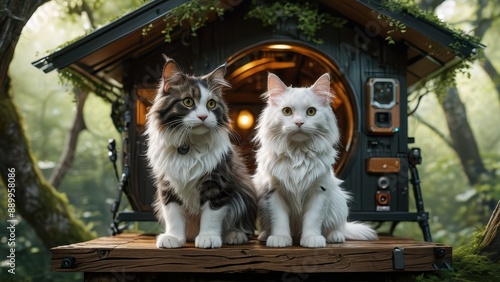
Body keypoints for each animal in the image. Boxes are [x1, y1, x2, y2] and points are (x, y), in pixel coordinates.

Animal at [143, 55, 256, 249]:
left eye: (211, 104)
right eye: (188, 101)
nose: (203, 116)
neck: (188, 146)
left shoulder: (218, 182)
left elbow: (212, 214)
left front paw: (208, 237)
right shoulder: (167, 185)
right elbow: (172, 214)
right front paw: (173, 237)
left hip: (244, 194)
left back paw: (234, 235)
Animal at [254, 73, 376, 249]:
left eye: (311, 112)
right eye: (287, 111)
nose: (299, 123)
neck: (297, 153)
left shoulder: (319, 191)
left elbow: (313, 220)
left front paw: (312, 240)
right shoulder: (274, 192)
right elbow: (279, 220)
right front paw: (279, 239)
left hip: (338, 202)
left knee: (338, 228)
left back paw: (335, 237)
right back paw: (265, 236)